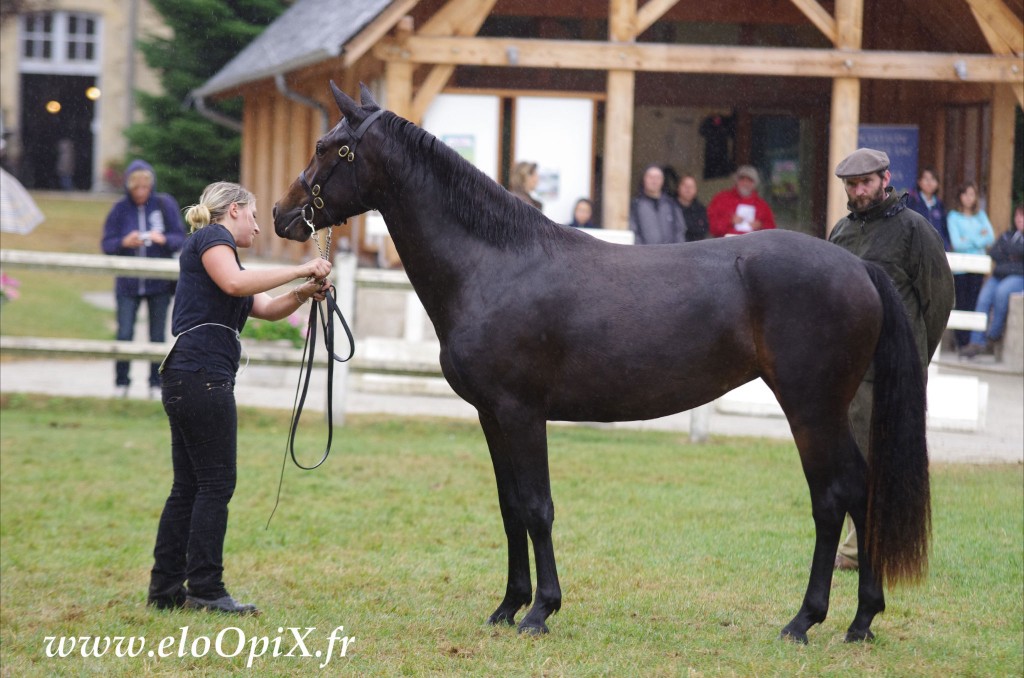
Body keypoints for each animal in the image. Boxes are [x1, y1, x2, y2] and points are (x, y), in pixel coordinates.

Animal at [272, 82, 929, 647]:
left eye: (332, 147)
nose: (282, 214)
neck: (495, 263)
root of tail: (857, 268)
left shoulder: (521, 413)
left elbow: (537, 507)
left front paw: (540, 611)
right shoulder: (491, 415)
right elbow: (510, 508)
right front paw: (507, 606)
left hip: (811, 407)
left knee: (835, 494)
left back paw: (806, 620)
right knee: (859, 489)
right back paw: (861, 620)